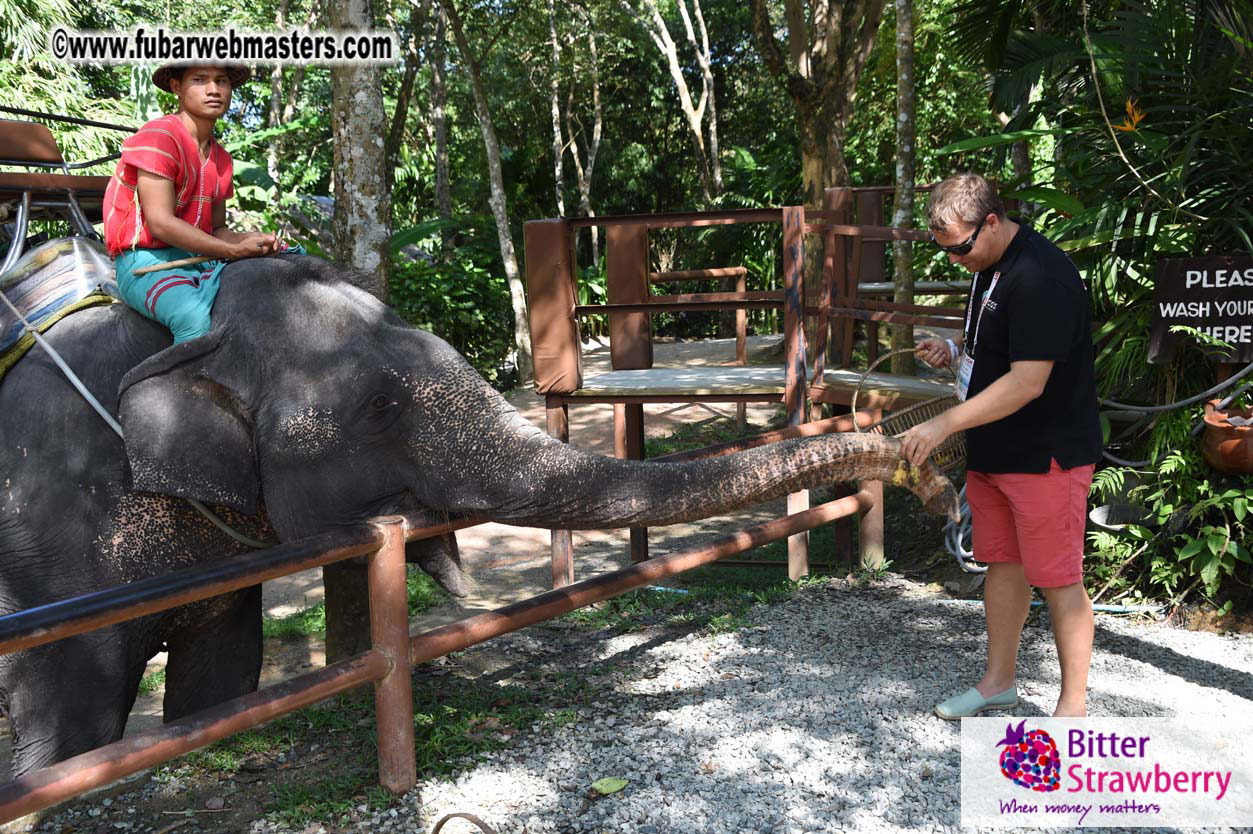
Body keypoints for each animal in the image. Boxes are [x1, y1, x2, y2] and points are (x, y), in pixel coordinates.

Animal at [0, 253, 957, 777]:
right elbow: (73, 719)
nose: (927, 473)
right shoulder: (54, 535)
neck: (178, 333)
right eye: (381, 408)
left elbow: (220, 683)